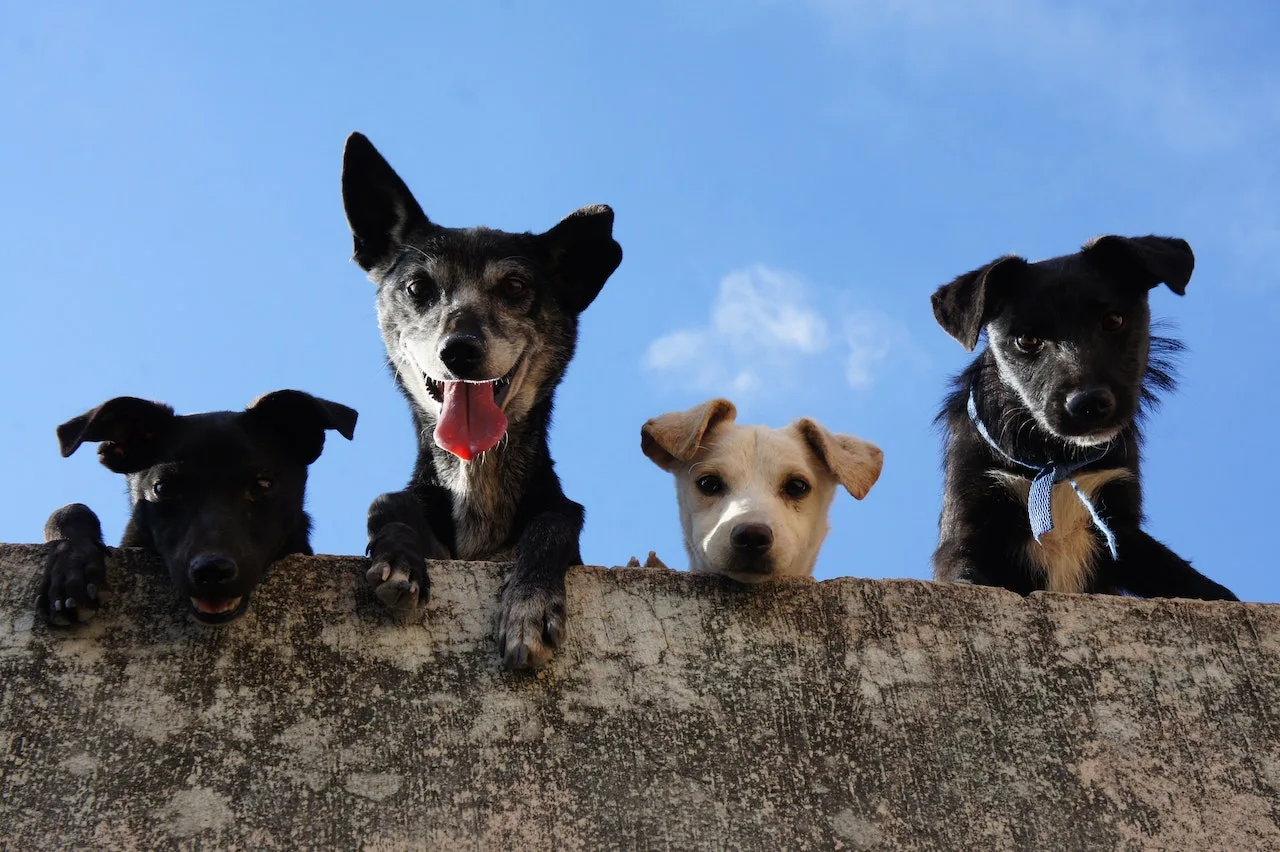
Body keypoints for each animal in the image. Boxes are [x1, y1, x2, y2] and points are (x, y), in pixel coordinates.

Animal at [337, 129, 622, 665]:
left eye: (514, 286)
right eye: (417, 287)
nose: (459, 351)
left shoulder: (558, 518)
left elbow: (554, 522)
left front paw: (530, 606)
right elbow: (386, 502)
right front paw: (399, 558)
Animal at [936, 235, 1233, 601]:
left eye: (1114, 320)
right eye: (1027, 339)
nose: (1089, 403)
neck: (1054, 460)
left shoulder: (1121, 529)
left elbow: (1193, 582)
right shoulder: (968, 525)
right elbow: (966, 573)